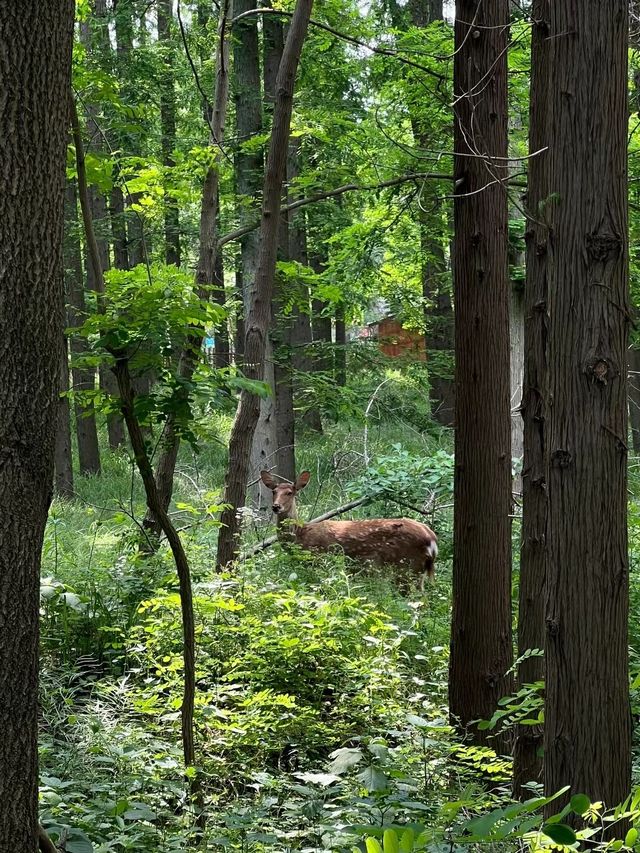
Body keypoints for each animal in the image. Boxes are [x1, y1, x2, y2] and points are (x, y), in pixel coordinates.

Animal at [258, 470, 436, 588]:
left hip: (406, 565)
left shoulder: (318, 558)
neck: (300, 535)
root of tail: (431, 539)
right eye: (274, 491)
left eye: (290, 492)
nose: (276, 506)